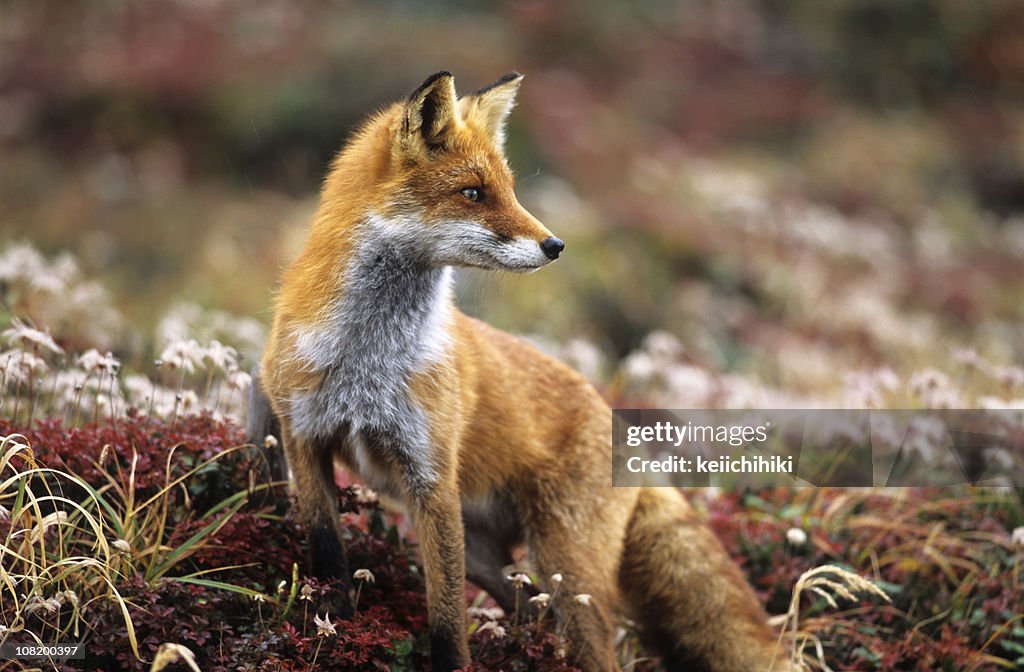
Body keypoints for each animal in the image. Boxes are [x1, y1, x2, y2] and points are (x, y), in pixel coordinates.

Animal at [251, 70, 794, 667]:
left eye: (510, 189)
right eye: (472, 193)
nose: (555, 245)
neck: (366, 359)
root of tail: (614, 418)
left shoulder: (430, 478)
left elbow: (447, 622)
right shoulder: (304, 438)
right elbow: (328, 556)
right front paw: (332, 626)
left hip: (566, 571)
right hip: (493, 558)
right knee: (531, 611)